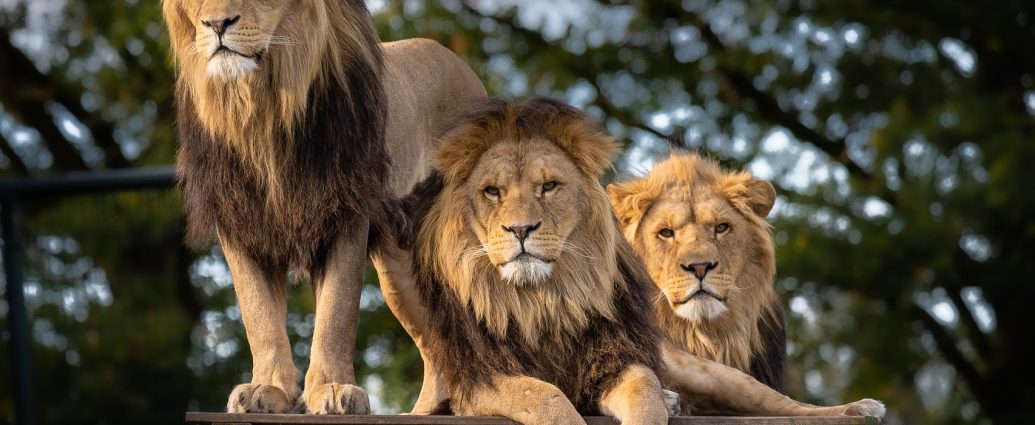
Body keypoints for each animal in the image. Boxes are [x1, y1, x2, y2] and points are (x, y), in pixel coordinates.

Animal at [163, 0, 484, 414]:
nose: (218, 24)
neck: (262, 110)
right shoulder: (239, 219)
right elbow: (258, 313)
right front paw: (267, 388)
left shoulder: (347, 211)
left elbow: (337, 310)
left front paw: (332, 388)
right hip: (399, 269)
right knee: (437, 342)